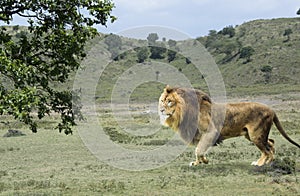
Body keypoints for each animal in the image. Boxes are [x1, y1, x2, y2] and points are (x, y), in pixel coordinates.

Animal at [158, 85, 298, 166]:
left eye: (169, 101)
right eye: (162, 100)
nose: (161, 110)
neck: (184, 112)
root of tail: (272, 110)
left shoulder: (211, 132)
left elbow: (198, 149)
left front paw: (202, 162)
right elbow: (200, 150)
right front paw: (200, 162)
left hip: (256, 135)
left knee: (267, 150)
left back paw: (260, 164)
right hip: (252, 135)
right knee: (271, 143)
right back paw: (269, 162)